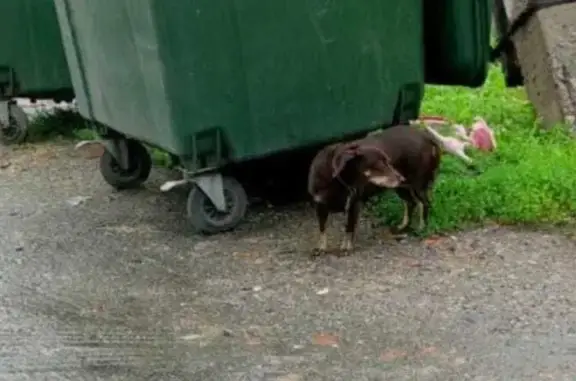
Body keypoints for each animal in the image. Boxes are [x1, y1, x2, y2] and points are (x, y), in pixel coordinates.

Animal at [308, 124, 444, 252]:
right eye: (380, 164)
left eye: (388, 161)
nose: (401, 178)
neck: (337, 181)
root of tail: (426, 137)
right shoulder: (320, 205)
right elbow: (322, 229)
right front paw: (321, 248)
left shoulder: (354, 204)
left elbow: (349, 229)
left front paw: (346, 247)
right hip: (401, 188)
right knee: (411, 203)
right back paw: (402, 227)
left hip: (417, 186)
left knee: (424, 204)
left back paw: (421, 228)